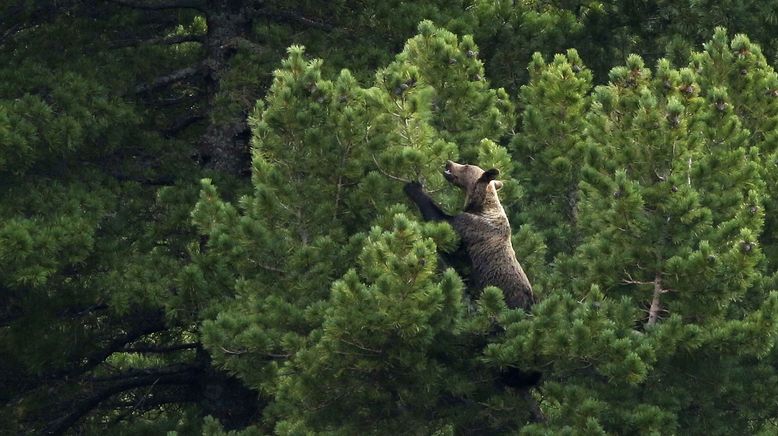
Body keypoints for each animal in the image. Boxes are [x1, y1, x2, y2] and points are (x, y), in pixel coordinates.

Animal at [400, 160, 532, 310]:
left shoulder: (470, 229)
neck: (480, 206)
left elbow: (442, 222)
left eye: (466, 166)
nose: (449, 163)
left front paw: (414, 188)